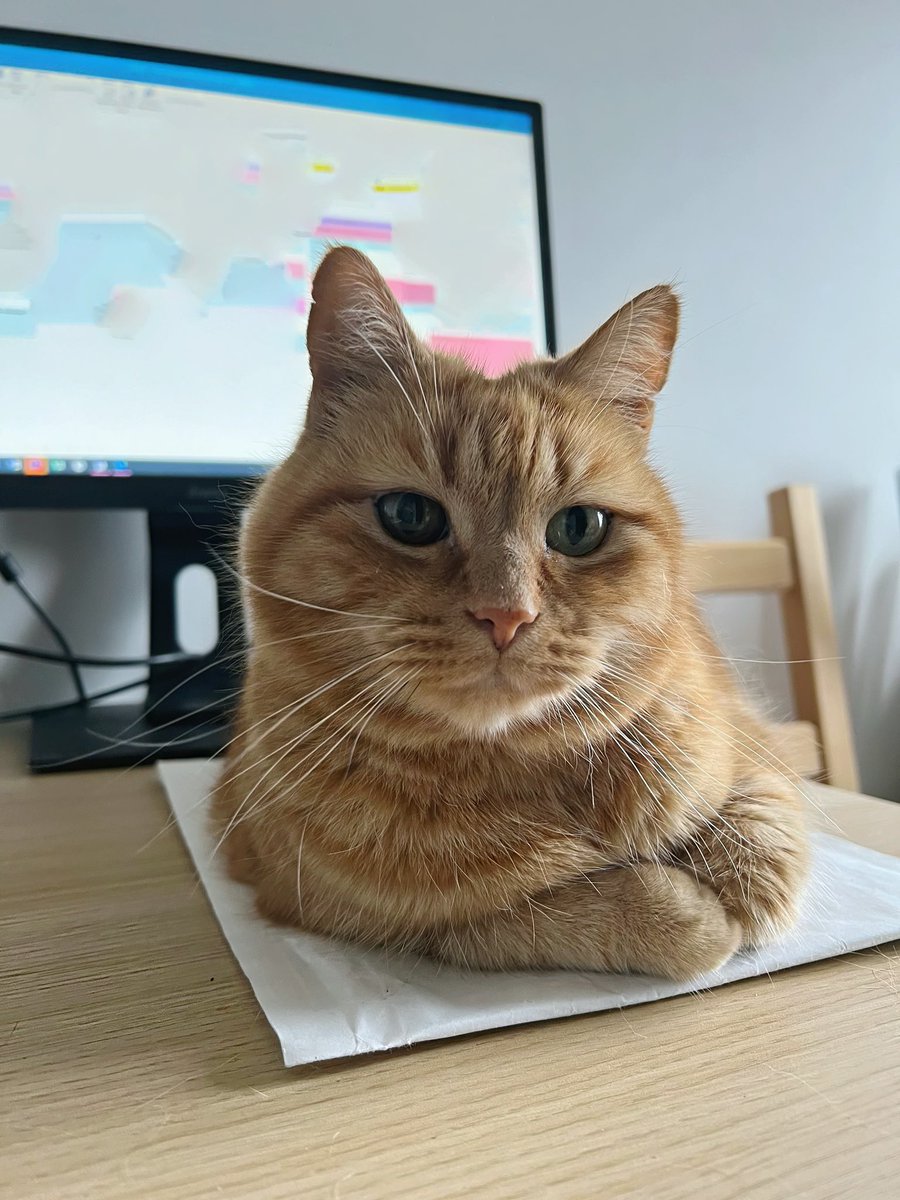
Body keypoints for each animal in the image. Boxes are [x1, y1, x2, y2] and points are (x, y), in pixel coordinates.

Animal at [213, 248, 811, 979]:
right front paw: (688, 910)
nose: (506, 614)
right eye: (409, 516)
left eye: (580, 529)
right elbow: (575, 912)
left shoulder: (754, 745)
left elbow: (767, 838)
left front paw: (730, 874)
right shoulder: (356, 912)